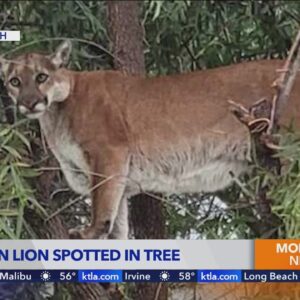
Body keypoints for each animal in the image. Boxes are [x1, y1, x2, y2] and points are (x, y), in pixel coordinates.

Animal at [0, 41, 300, 240]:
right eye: (15, 81)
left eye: (41, 76)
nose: (29, 103)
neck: (56, 113)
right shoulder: (117, 178)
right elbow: (117, 223)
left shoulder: (109, 155)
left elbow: (102, 206)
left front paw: (87, 233)